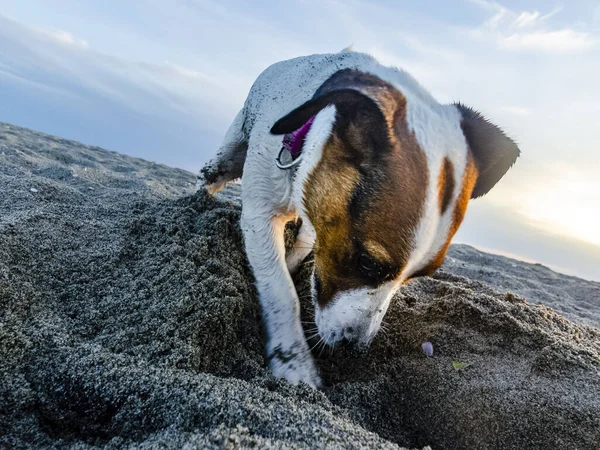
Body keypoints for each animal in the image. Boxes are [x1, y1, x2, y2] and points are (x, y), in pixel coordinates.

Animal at [199, 48, 516, 386]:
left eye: (417, 278)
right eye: (367, 262)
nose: (352, 349)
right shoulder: (260, 214)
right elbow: (281, 291)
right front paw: (294, 362)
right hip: (227, 155)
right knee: (210, 177)